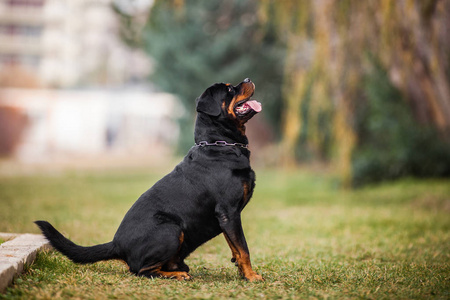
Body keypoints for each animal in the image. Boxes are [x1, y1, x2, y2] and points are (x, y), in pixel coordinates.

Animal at [37, 78, 264, 282]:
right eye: (230, 89)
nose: (248, 79)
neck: (220, 145)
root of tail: (116, 244)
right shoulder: (228, 212)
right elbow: (243, 248)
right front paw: (252, 276)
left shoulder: (227, 218)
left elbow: (235, 248)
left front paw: (243, 274)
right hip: (170, 229)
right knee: (142, 270)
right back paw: (177, 275)